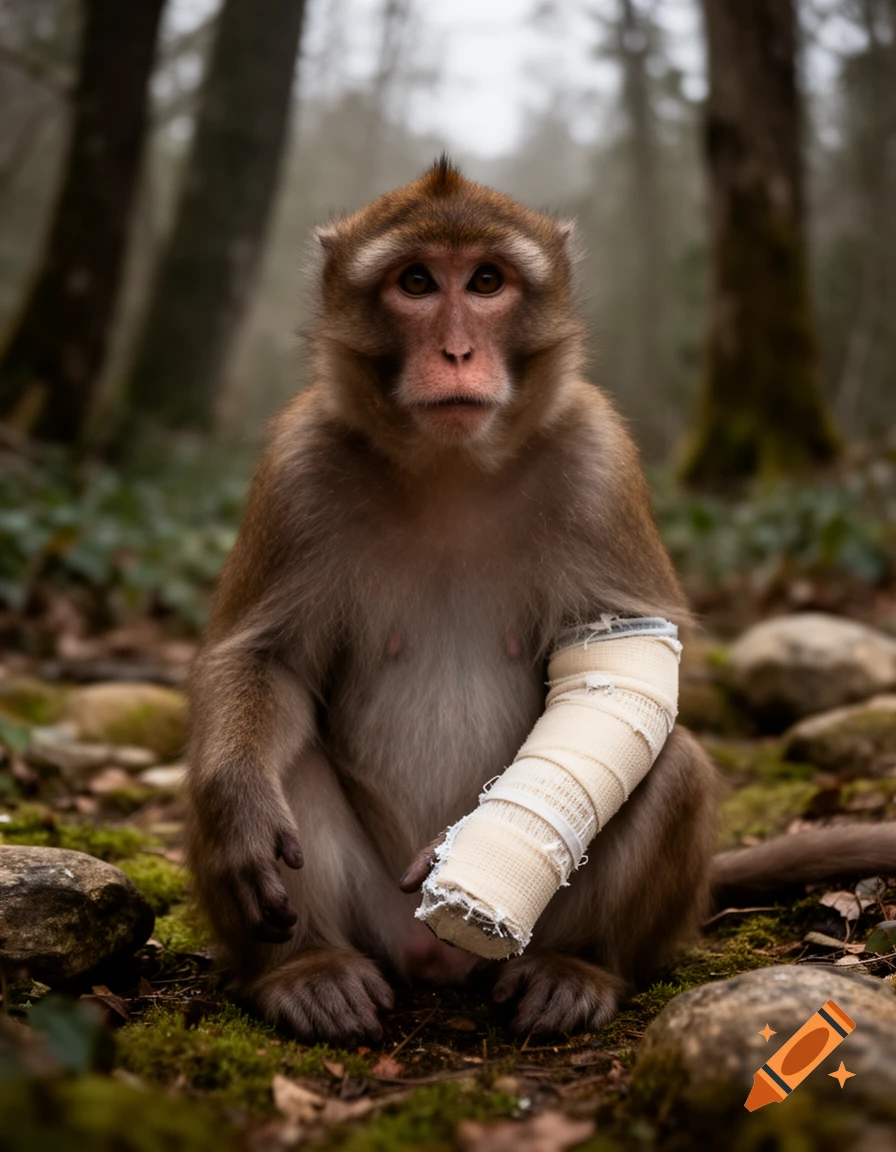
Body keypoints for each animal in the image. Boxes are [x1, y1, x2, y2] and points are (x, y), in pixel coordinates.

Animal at [186, 158, 896, 1044]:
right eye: (416, 282)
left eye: (487, 282)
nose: (457, 349)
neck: (450, 469)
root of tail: (438, 961)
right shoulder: (297, 466)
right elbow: (265, 663)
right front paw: (241, 807)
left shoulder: (599, 457)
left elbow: (627, 661)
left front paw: (469, 848)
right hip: (378, 916)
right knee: (281, 767)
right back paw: (305, 971)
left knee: (673, 760)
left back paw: (576, 968)